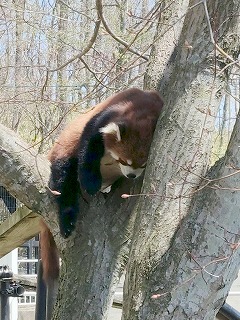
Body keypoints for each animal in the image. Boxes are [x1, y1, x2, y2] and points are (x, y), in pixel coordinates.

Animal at [40, 87, 163, 280]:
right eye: (124, 161)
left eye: (143, 165)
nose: (131, 176)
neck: (141, 107)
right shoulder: (107, 114)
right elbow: (89, 146)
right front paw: (90, 183)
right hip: (63, 151)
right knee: (63, 180)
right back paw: (67, 219)